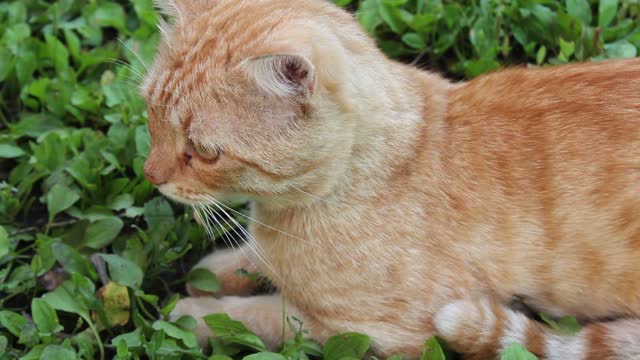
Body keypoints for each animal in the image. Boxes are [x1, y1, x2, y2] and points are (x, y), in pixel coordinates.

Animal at [142, 1, 640, 358]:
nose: (151, 175)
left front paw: (193, 312)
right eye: (151, 114)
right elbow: (257, 257)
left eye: (204, 151)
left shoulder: (379, 333)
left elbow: (264, 317)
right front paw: (218, 270)